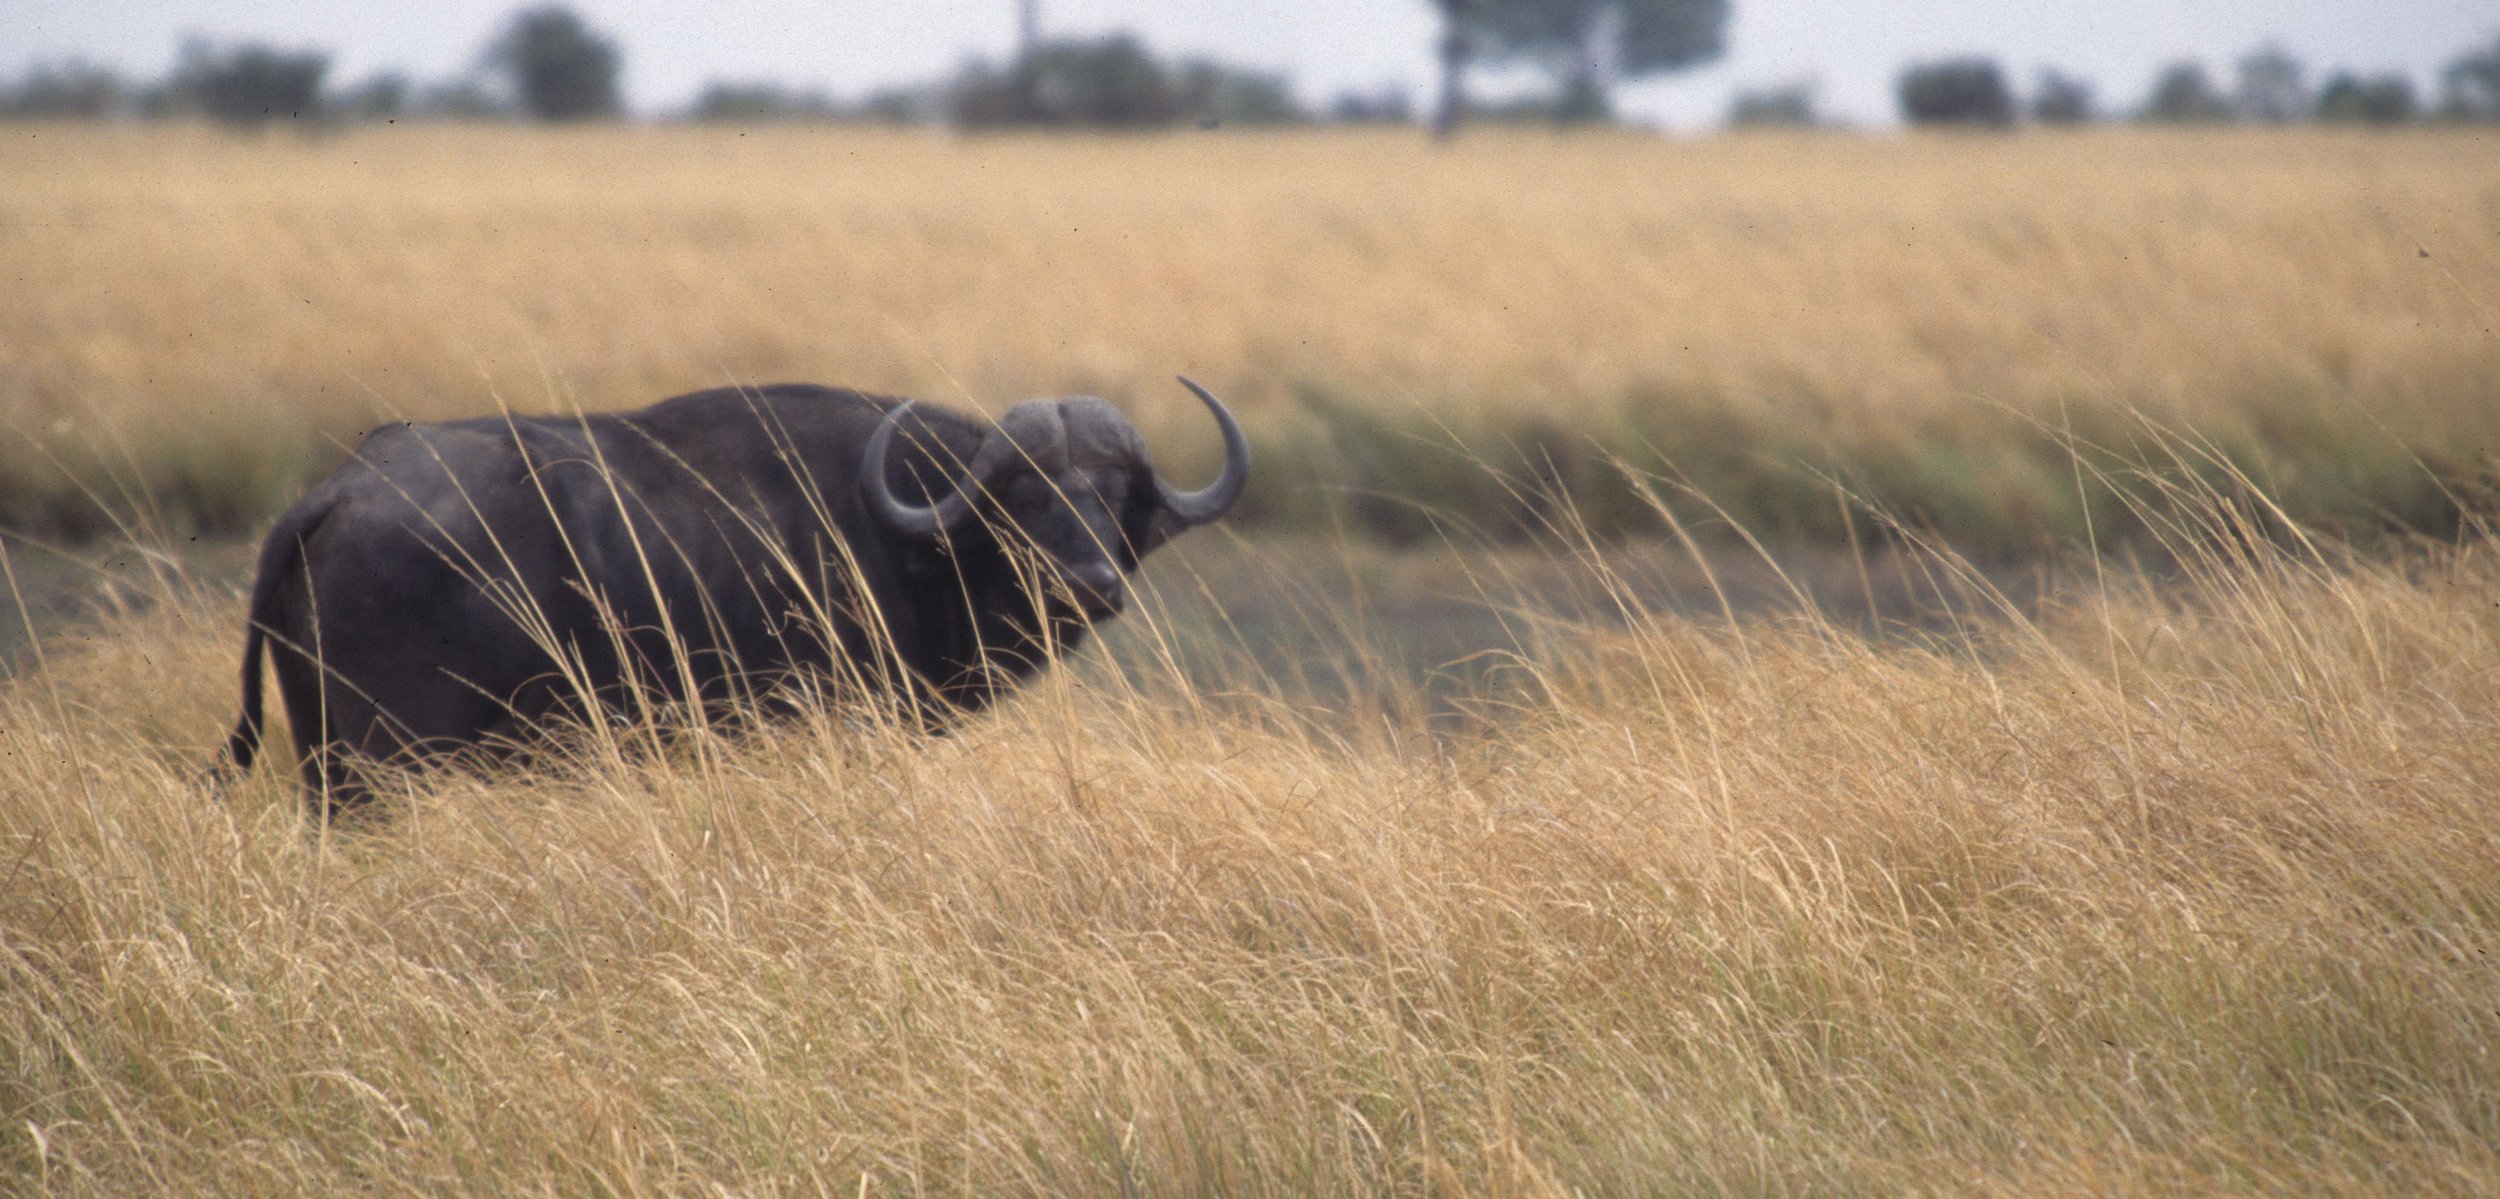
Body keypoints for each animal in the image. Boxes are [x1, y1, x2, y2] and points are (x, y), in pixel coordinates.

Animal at [217, 378, 1250, 807]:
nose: (1091, 583)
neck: (902, 538)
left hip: (323, 761)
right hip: (389, 760)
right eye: (1024, 496)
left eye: (1111, 495)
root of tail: (338, 491)